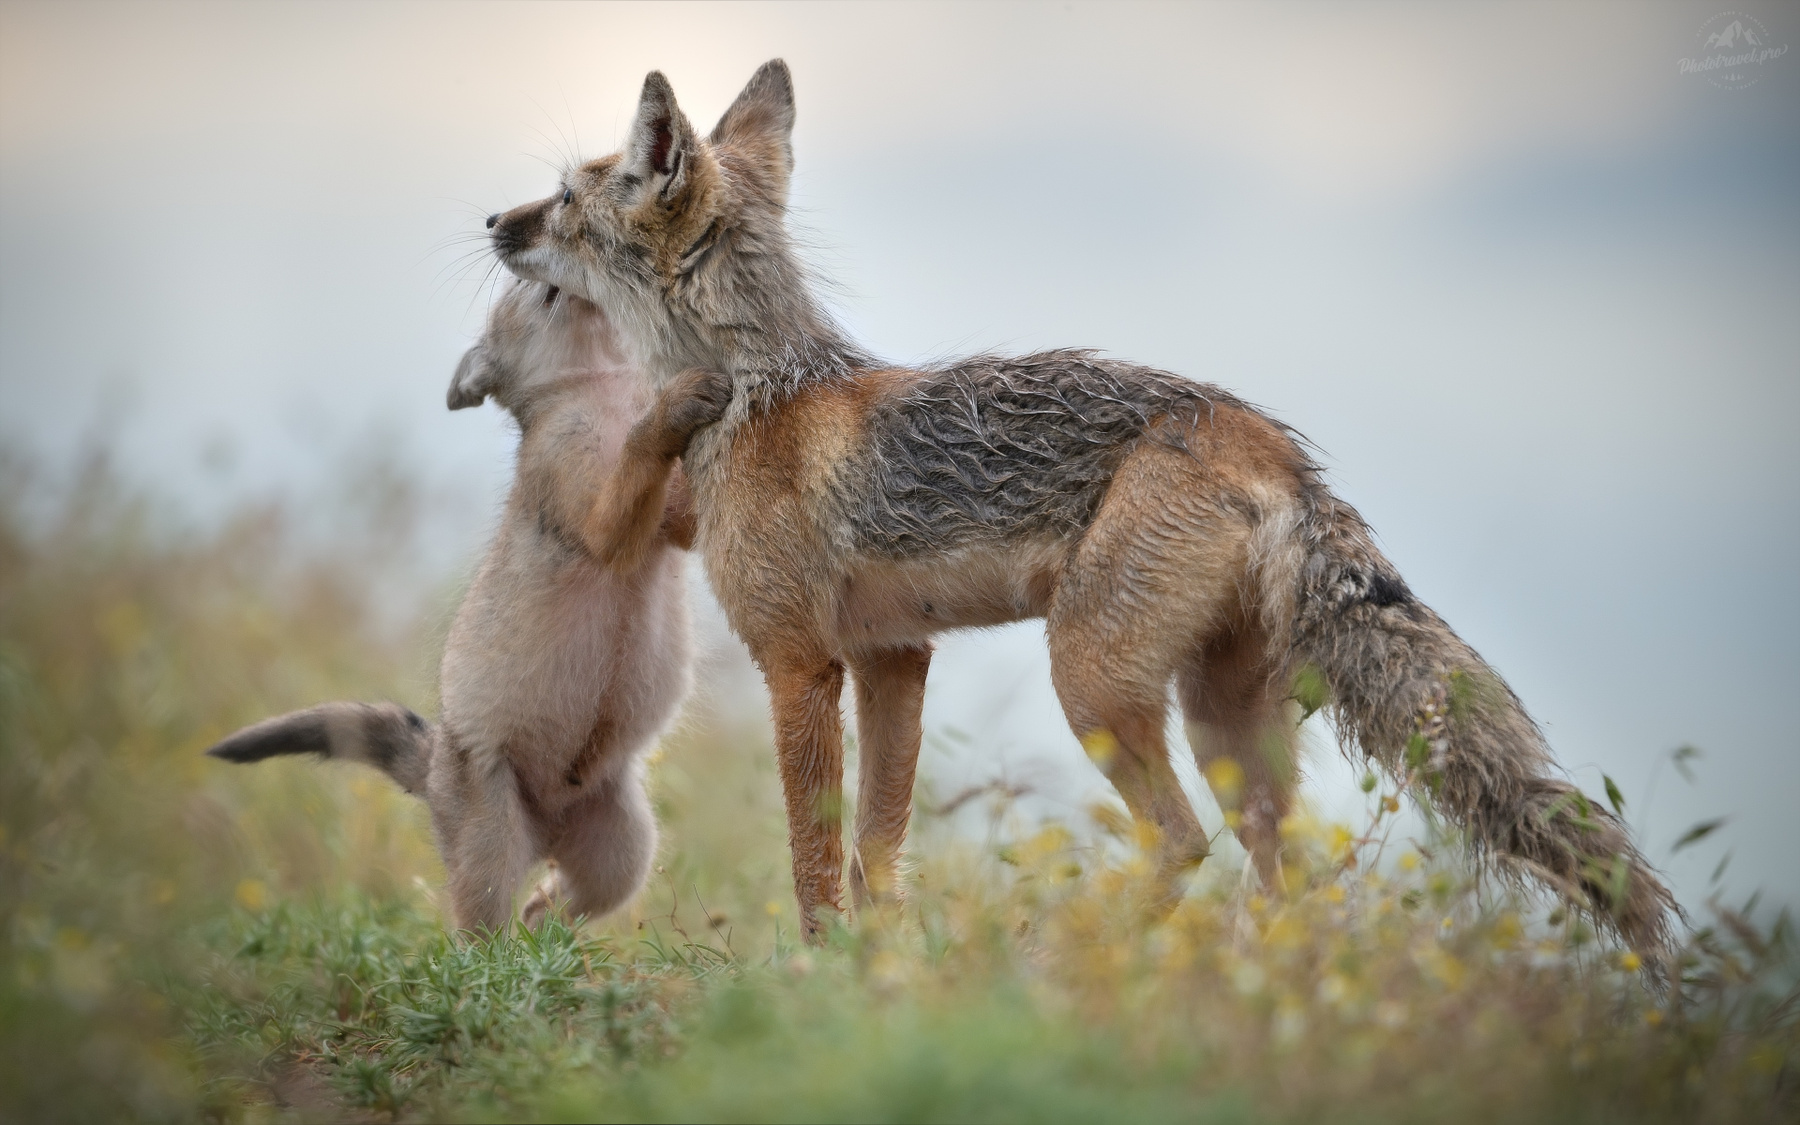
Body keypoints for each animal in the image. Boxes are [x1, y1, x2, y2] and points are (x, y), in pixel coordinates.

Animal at [205, 278, 727, 933]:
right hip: (492, 843)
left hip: (624, 848)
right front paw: (681, 402)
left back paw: (546, 932)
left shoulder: (670, 529)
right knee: (481, 930)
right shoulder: (599, 515)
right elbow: (639, 455)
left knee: (550, 905)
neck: (602, 393)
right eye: (521, 287)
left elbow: (681, 501)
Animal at [486, 60, 1677, 956]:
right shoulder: (893, 658)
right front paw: (883, 973)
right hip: (1222, 724)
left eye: (566, 200)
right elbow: (879, 850)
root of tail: (1275, 446)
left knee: (1184, 845)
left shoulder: (799, 664)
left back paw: (1059, 957)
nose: (492, 217)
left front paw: (819, 979)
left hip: (1094, 684)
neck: (756, 390)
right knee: (1280, 875)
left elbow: (816, 859)